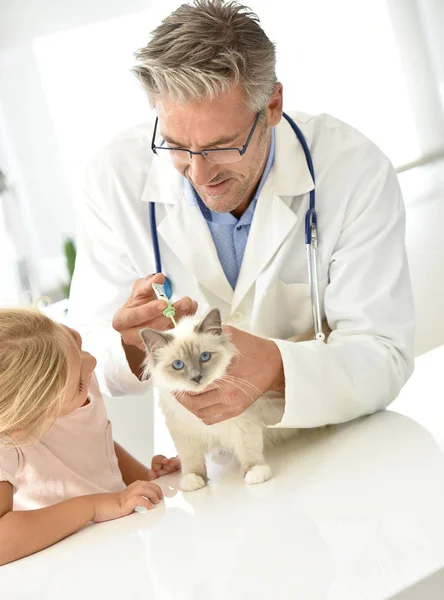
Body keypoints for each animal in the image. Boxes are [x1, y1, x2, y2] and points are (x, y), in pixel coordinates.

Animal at [140, 310, 328, 492]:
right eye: (178, 365)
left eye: (205, 356)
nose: (196, 377)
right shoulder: (183, 431)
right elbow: (191, 461)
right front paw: (193, 480)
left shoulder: (243, 420)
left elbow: (249, 450)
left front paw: (255, 472)